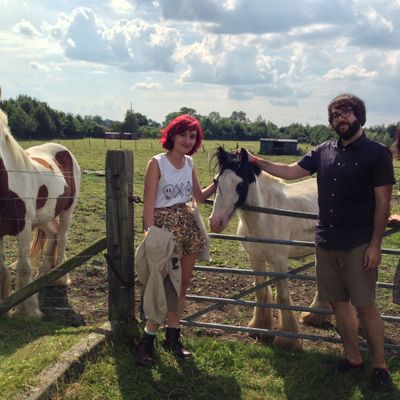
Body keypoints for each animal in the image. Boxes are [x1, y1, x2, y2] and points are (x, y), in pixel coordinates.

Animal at [0, 107, 80, 318]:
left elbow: (24, 268)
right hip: (44, 218)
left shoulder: (24, 229)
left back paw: (60, 278)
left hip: (67, 212)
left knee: (61, 238)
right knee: (52, 236)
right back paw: (44, 275)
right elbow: (2, 269)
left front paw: (30, 310)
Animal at [208, 148, 330, 350]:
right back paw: (314, 317)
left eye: (240, 184)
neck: (264, 217)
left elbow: (282, 297)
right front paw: (259, 328)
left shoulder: (280, 262)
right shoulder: (255, 259)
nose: (215, 222)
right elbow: (261, 292)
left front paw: (287, 339)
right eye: (216, 181)